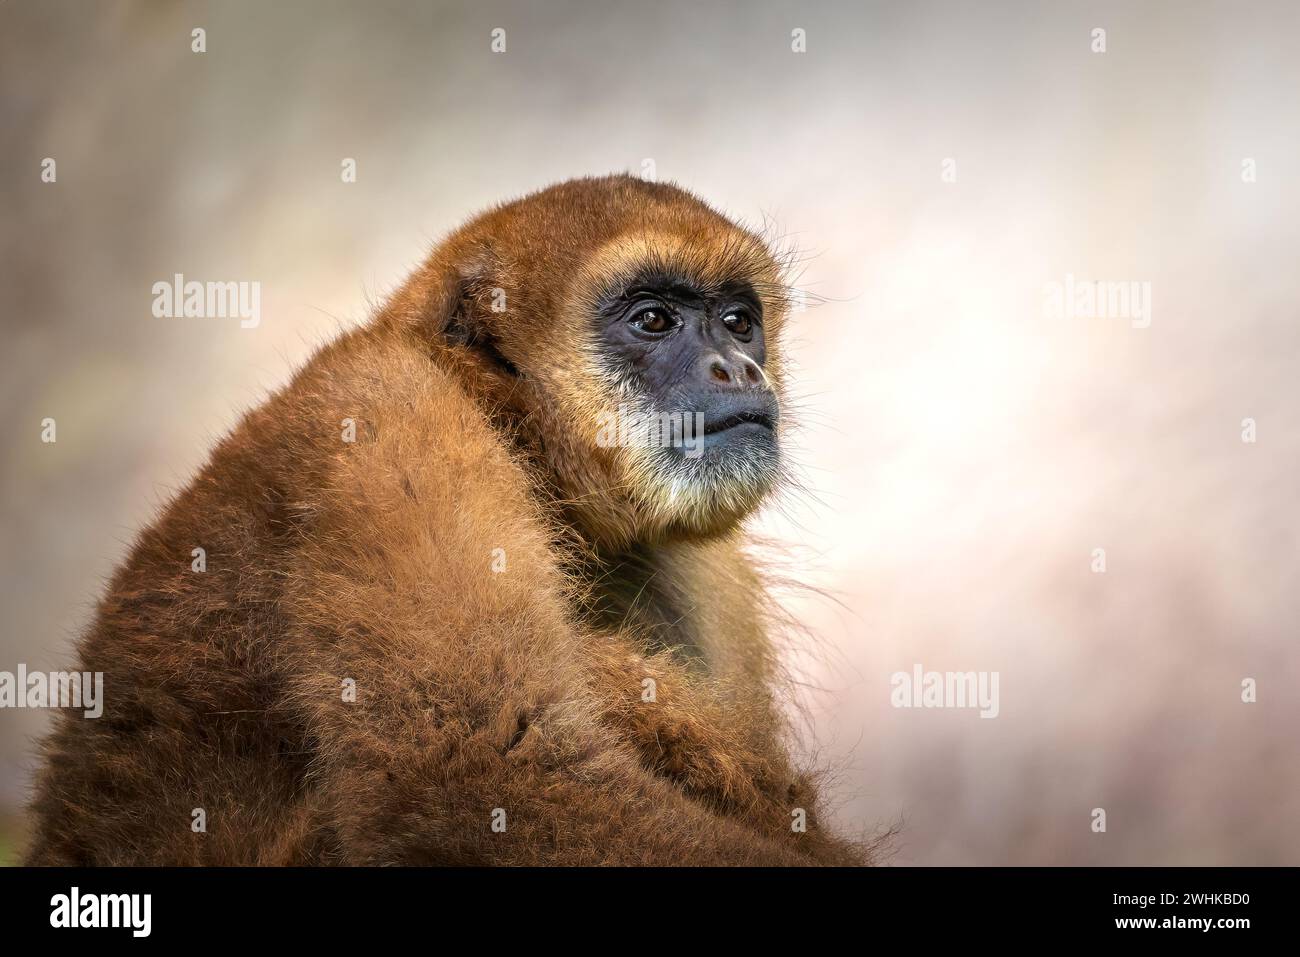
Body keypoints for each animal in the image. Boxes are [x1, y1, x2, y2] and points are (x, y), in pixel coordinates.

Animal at [25, 174, 868, 868]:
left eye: (738, 321)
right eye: (654, 320)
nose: (739, 368)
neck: (502, 418)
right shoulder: (396, 420)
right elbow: (475, 773)